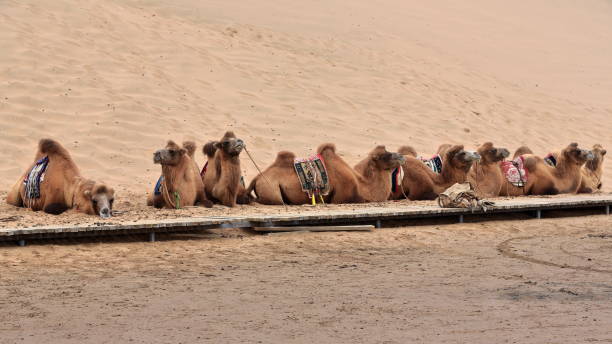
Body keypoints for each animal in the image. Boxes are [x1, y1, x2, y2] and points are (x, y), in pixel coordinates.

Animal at [244, 143, 406, 204]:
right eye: (384, 156)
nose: (401, 156)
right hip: (271, 190)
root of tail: (257, 177)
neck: (363, 187)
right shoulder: (342, 197)